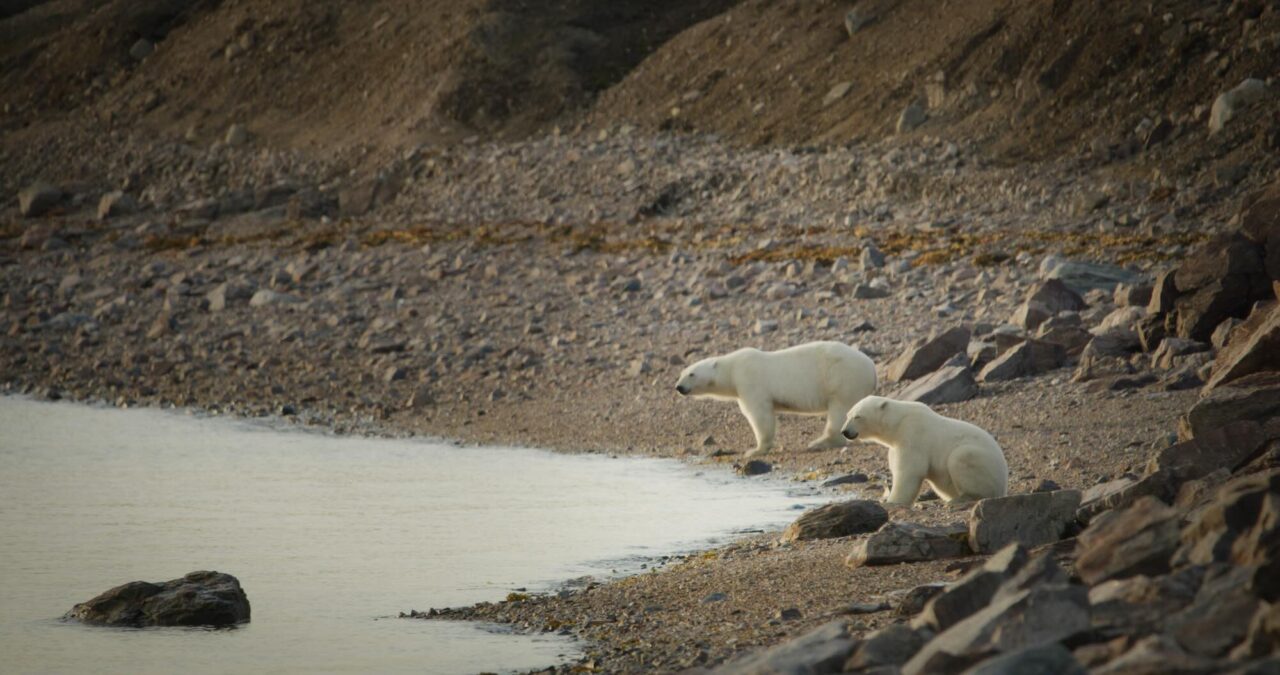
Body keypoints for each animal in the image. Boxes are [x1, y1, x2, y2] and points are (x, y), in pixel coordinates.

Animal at [675, 341, 877, 457]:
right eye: (682, 374)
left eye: (691, 374)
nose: (679, 387)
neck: (731, 368)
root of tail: (872, 368)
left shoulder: (749, 380)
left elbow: (759, 414)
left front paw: (755, 450)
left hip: (842, 380)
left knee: (839, 410)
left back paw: (819, 443)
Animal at [840, 396, 1008, 505]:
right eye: (848, 415)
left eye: (858, 416)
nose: (845, 431)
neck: (898, 424)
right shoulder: (896, 445)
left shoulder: (913, 436)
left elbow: (909, 471)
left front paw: (891, 502)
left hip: (982, 462)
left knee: (961, 457)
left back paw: (962, 498)